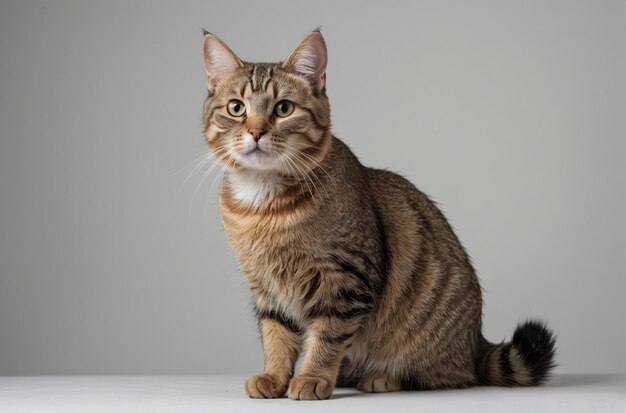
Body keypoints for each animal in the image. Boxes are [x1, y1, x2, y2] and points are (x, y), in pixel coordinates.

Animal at [201, 29, 556, 400]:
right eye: (236, 108)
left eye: (283, 108)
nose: (256, 131)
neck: (263, 204)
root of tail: (476, 343)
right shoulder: (266, 289)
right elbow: (277, 337)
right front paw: (274, 376)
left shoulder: (345, 280)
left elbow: (327, 336)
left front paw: (313, 376)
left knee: (444, 374)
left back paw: (381, 378)